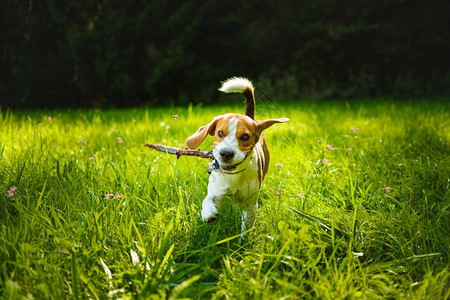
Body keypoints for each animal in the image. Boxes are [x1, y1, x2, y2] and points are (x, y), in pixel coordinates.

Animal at [185, 77, 288, 239]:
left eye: (245, 136)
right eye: (220, 133)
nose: (226, 153)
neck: (234, 175)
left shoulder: (250, 205)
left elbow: (246, 229)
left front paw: (243, 243)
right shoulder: (216, 192)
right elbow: (207, 200)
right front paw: (208, 212)